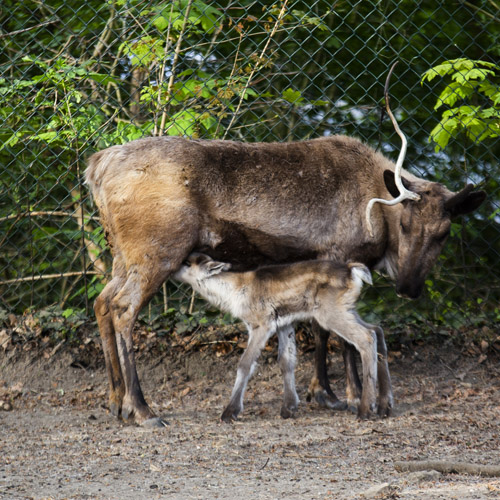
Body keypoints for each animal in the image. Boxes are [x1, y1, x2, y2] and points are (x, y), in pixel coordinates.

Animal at [174, 252, 392, 420]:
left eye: (188, 262)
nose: (173, 266)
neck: (235, 292)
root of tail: (352, 271)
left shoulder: (261, 324)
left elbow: (245, 363)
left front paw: (230, 412)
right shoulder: (284, 323)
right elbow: (286, 360)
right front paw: (289, 408)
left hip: (330, 313)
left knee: (366, 337)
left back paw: (365, 410)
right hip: (348, 309)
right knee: (377, 329)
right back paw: (384, 407)